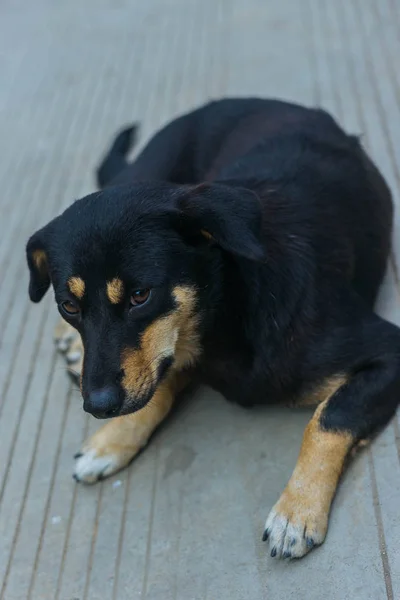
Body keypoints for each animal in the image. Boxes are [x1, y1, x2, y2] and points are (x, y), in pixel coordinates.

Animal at [25, 96, 400, 560]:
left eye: (140, 295)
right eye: (69, 305)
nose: (97, 406)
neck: (231, 310)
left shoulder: (388, 350)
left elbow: (330, 416)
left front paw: (297, 508)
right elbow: (156, 391)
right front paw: (113, 440)